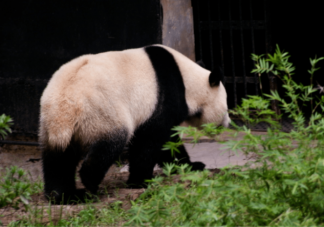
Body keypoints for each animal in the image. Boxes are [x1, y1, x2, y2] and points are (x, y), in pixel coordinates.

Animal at [39, 44, 229, 204]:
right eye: (226, 105)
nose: (228, 123)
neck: (187, 79)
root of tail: (67, 104)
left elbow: (166, 143)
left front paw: (190, 166)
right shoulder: (163, 97)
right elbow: (153, 139)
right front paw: (140, 181)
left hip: (51, 121)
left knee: (58, 158)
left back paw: (64, 195)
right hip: (101, 111)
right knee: (110, 144)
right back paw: (90, 184)